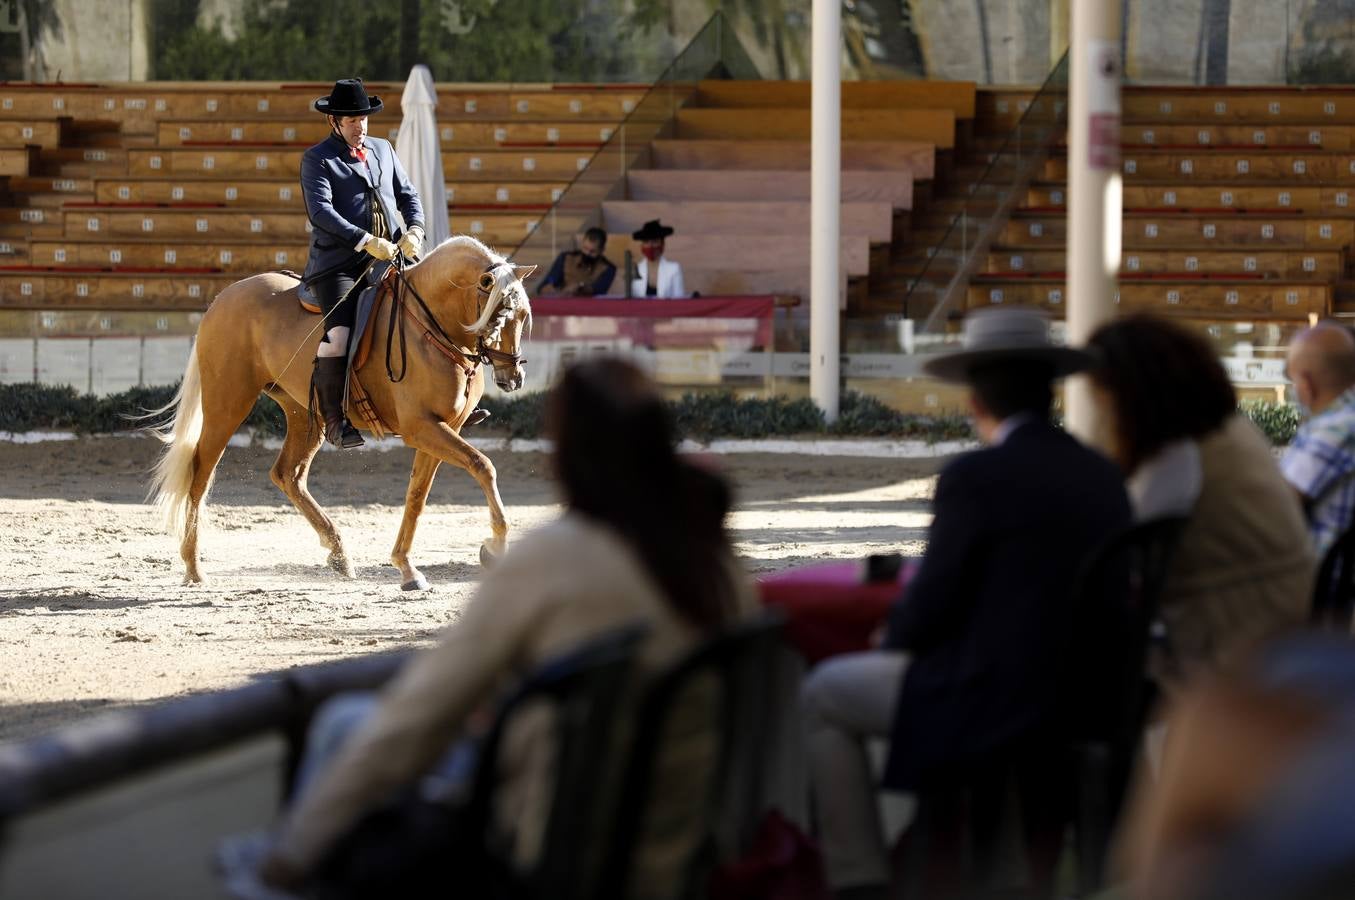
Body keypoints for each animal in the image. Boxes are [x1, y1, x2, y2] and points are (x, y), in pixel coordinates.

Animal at [147, 235, 528, 588]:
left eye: (523, 316)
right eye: (500, 314)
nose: (513, 377)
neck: (429, 323)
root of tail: (224, 297)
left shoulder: (444, 427)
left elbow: (417, 496)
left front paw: (406, 566)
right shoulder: (422, 427)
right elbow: (483, 465)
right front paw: (496, 546)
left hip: (304, 414)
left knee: (288, 475)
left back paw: (338, 553)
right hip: (227, 403)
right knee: (200, 475)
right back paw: (194, 567)